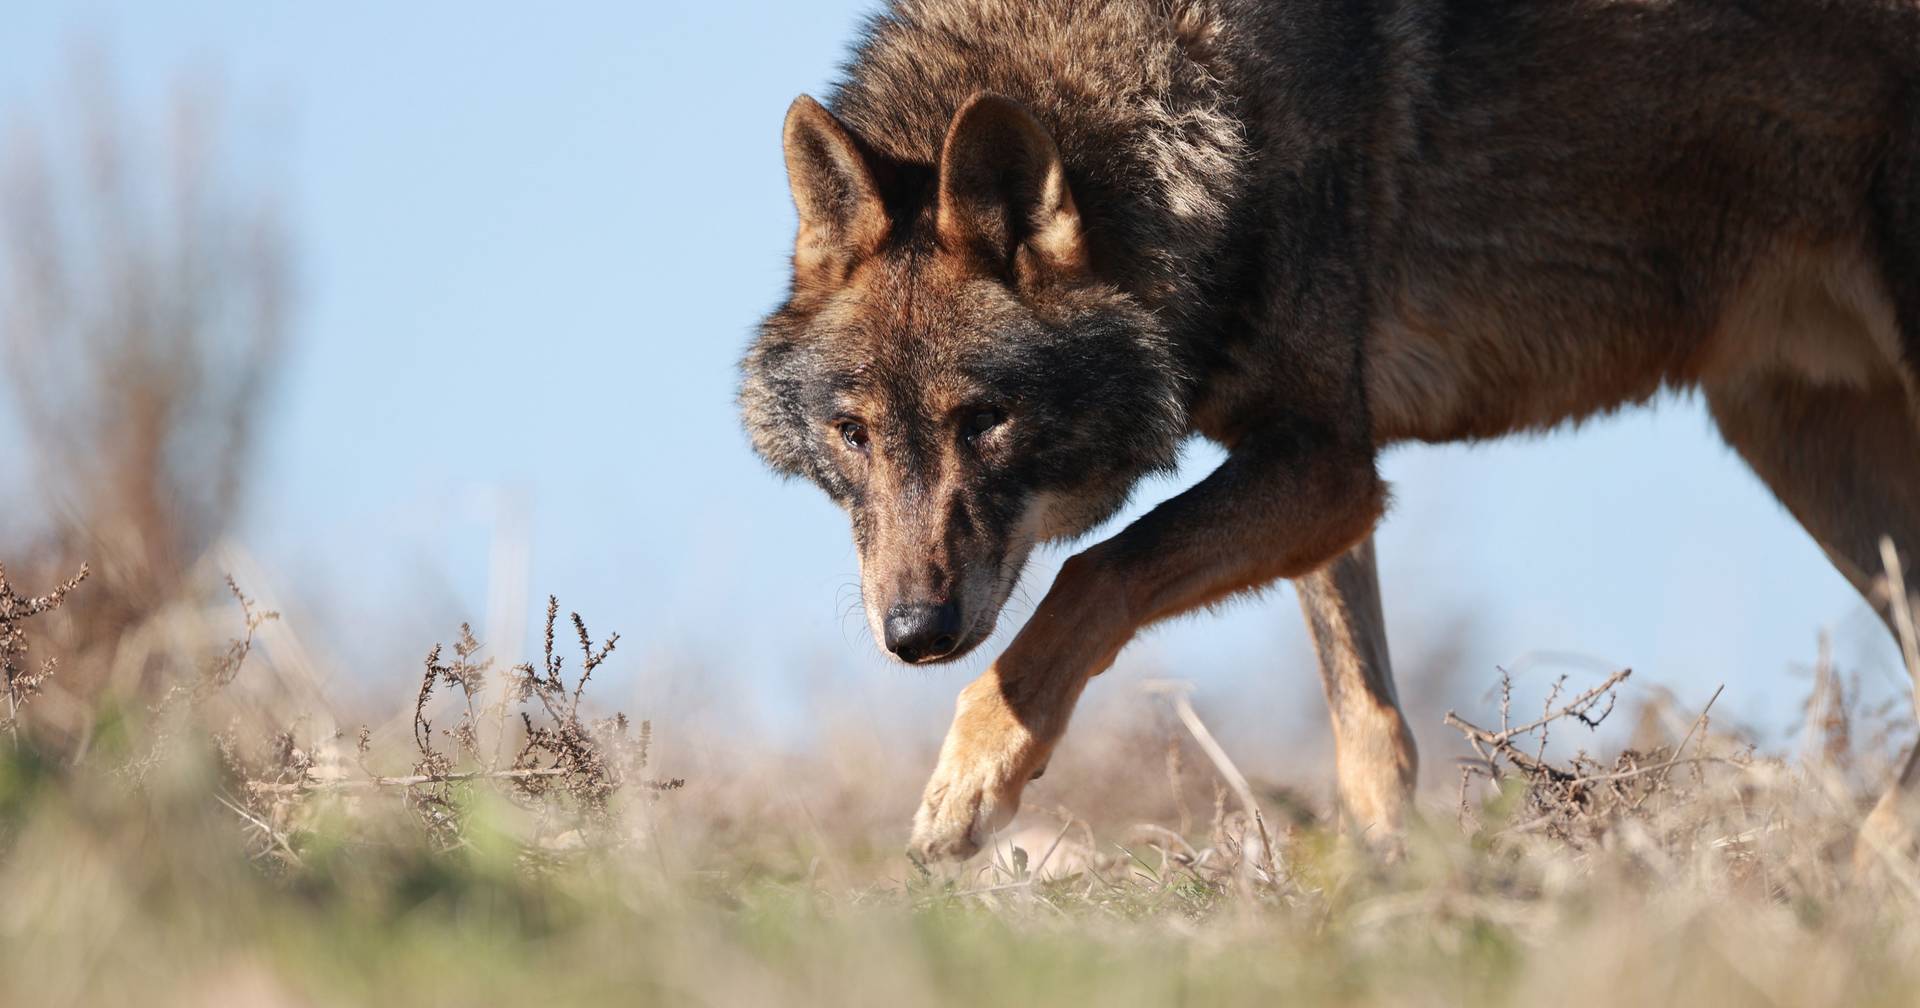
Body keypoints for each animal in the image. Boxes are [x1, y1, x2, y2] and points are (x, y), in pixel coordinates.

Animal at [739, 0, 1920, 864]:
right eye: (852, 433)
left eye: (986, 420)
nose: (913, 634)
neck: (1193, 121)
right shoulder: (1323, 476)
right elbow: (1370, 731)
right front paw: (1389, 894)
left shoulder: (1324, 467)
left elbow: (1092, 576)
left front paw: (968, 785)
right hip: (1793, 441)